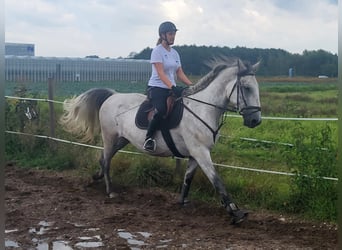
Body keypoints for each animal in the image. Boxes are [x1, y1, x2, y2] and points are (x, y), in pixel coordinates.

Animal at [60, 57, 262, 224]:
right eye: (246, 87)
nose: (255, 121)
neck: (202, 109)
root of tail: (113, 95)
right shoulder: (201, 152)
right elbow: (217, 181)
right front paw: (235, 212)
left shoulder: (195, 154)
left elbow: (188, 179)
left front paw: (183, 202)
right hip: (110, 137)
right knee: (107, 160)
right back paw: (110, 191)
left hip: (122, 139)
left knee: (103, 159)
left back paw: (97, 177)